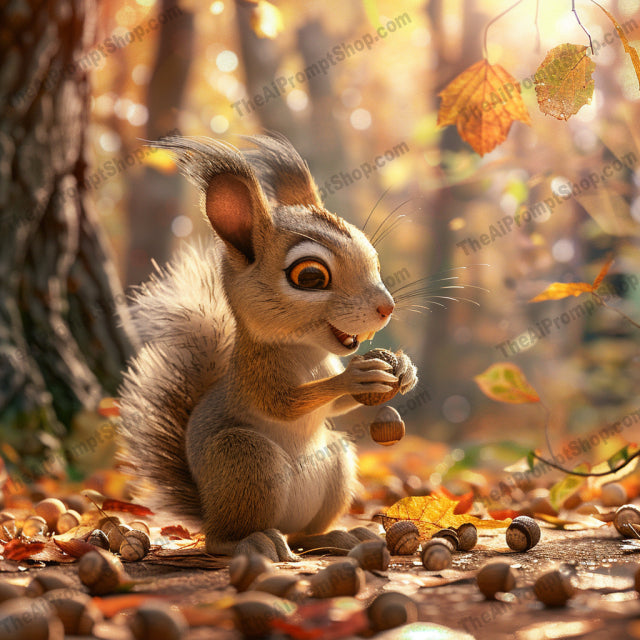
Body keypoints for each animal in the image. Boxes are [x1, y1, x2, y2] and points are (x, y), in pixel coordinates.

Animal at [118, 134, 418, 561]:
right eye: (310, 277)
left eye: (373, 257)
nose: (386, 307)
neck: (308, 351)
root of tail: (209, 510)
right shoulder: (254, 375)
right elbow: (283, 403)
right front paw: (355, 377)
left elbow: (335, 410)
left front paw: (405, 371)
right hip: (245, 461)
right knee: (222, 539)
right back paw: (253, 541)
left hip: (336, 462)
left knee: (304, 533)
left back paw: (337, 537)